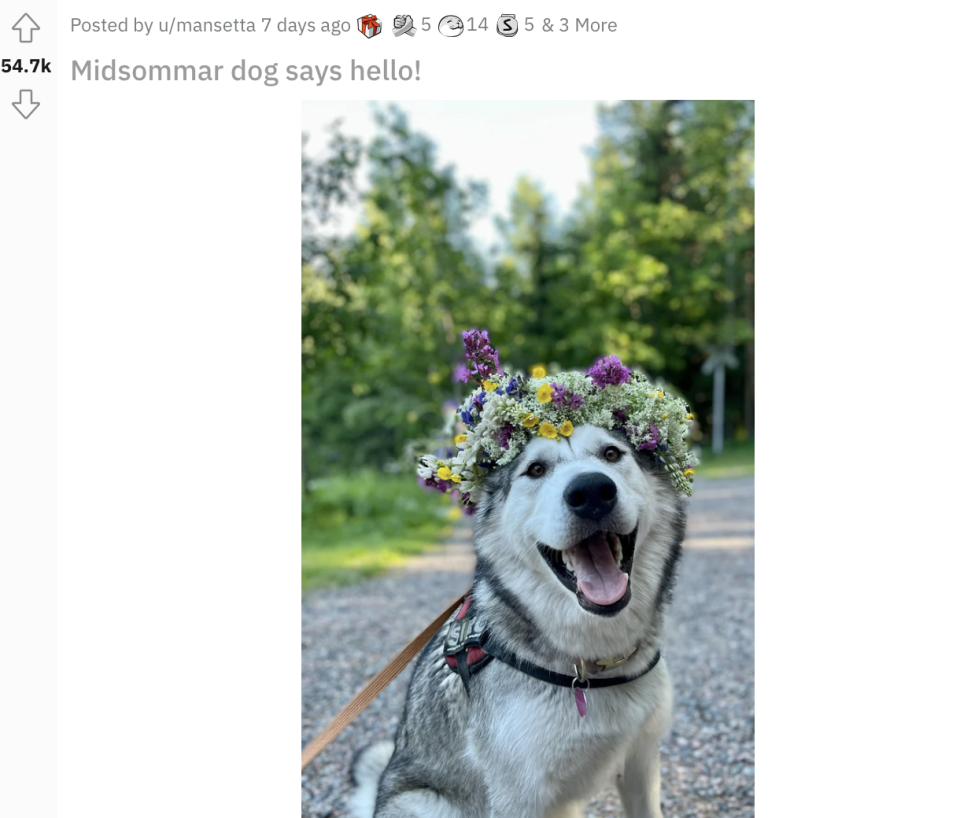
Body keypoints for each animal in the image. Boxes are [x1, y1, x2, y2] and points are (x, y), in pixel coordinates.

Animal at [348, 420, 688, 816]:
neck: (592, 665)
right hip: (426, 803)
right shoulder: (517, 796)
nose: (591, 491)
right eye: (536, 469)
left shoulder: (641, 761)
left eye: (611, 453)